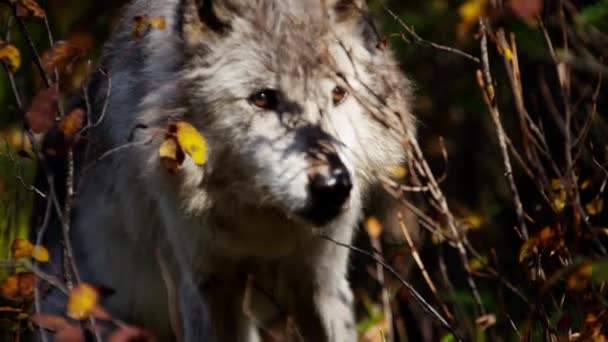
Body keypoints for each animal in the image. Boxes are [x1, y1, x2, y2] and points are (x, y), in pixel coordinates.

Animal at [36, 0, 414, 340]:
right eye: (262, 98)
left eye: (338, 94)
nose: (334, 186)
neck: (263, 224)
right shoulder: (206, 288)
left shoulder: (323, 284)